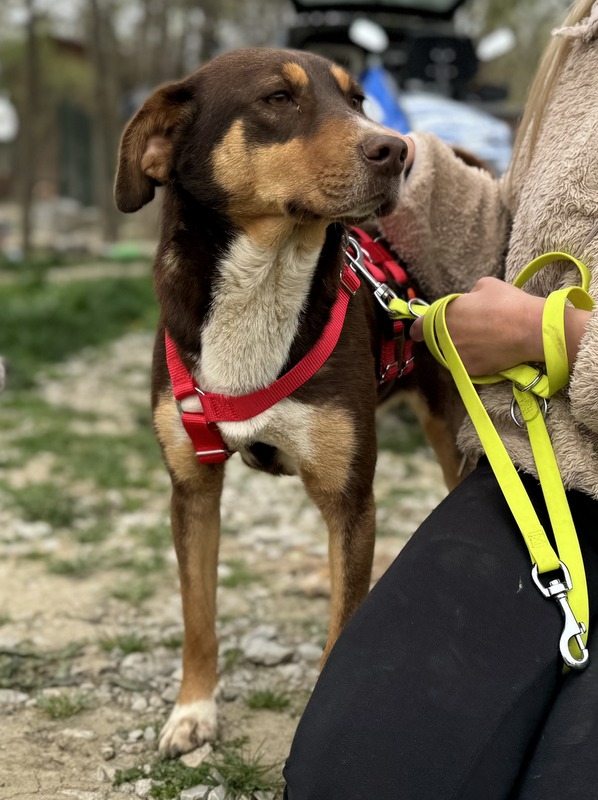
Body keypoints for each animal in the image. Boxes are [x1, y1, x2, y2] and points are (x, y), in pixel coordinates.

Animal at [114, 46, 463, 756]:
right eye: (278, 98)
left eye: (358, 100)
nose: (397, 149)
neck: (265, 283)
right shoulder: (192, 489)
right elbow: (198, 615)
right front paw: (192, 710)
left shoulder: (349, 495)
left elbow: (341, 631)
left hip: (451, 424)